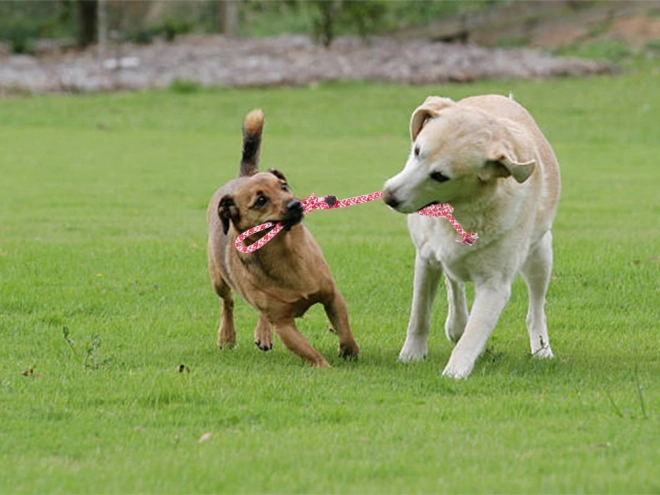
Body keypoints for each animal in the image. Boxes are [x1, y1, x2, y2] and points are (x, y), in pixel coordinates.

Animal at [208, 109, 358, 368]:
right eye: (261, 200)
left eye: (284, 186)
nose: (295, 204)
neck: (284, 252)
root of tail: (244, 175)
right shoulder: (283, 324)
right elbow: (310, 353)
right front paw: (327, 368)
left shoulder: (332, 296)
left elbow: (345, 330)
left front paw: (350, 352)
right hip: (218, 278)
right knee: (227, 303)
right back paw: (227, 336)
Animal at [384, 94, 560, 380]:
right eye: (417, 151)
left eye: (440, 176)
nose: (389, 197)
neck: (462, 211)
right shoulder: (426, 259)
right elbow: (419, 316)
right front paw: (411, 355)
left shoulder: (495, 285)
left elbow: (473, 335)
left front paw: (454, 372)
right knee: (454, 283)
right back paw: (456, 324)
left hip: (541, 255)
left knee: (535, 308)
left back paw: (541, 347)